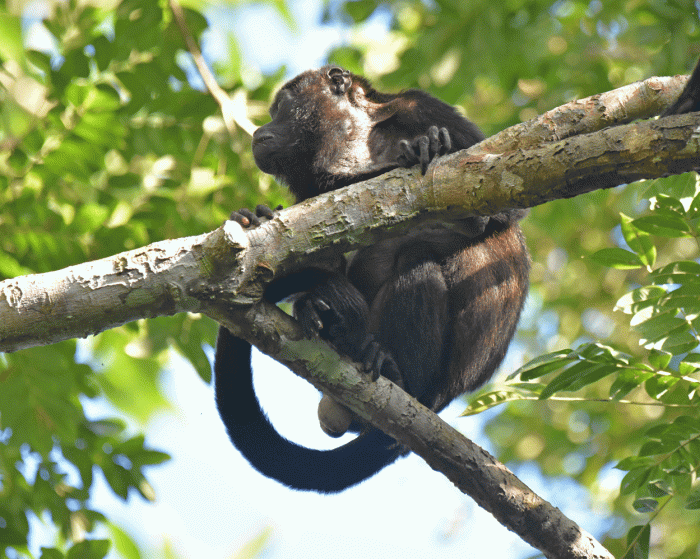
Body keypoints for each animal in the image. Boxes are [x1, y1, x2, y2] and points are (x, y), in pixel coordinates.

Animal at [213, 65, 530, 493]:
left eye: (282, 107)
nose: (260, 131)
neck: (356, 138)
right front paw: (254, 218)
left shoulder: (423, 107)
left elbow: (506, 206)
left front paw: (429, 146)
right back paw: (333, 323)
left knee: (418, 263)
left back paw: (391, 368)